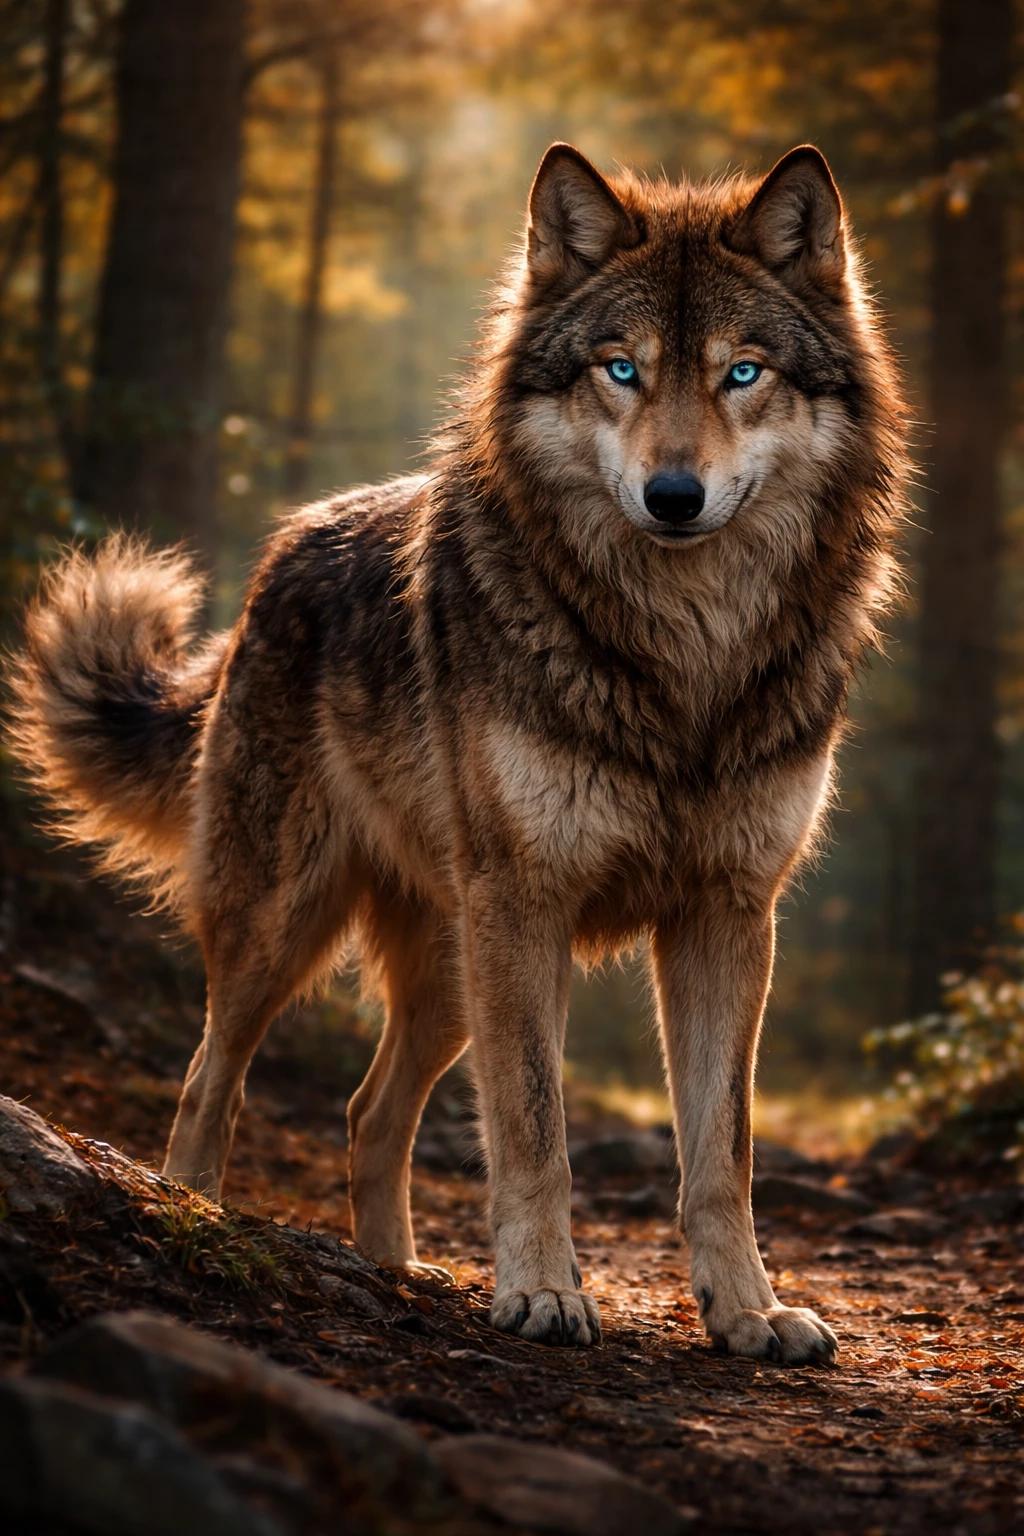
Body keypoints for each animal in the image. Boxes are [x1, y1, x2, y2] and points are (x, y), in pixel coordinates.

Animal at [11, 143, 906, 1363]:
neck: (683, 659)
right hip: (300, 929)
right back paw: (189, 1213)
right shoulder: (528, 905)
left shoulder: (727, 915)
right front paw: (542, 1293)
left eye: (741, 373)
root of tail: (278, 557)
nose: (674, 496)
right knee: (210, 1079)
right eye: (619, 371)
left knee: (365, 1114)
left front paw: (749, 1312)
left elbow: (721, 1149)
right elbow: (534, 1129)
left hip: (449, 973)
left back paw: (395, 1273)